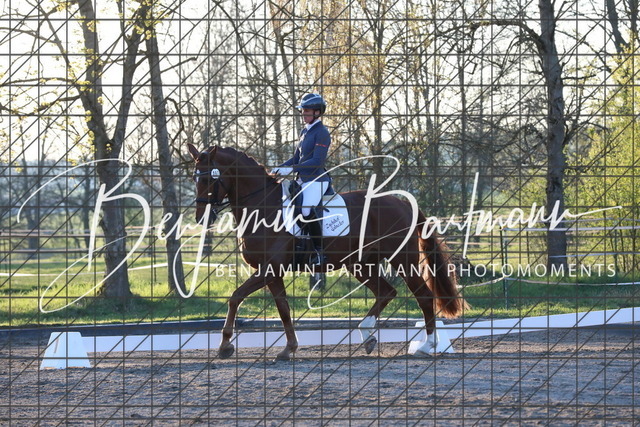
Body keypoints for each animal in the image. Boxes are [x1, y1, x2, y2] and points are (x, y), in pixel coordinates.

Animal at [187, 144, 467, 360]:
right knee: (386, 292)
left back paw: (427, 346)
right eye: (195, 178)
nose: (201, 218)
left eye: (210, 178)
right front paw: (289, 349)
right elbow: (283, 309)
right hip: (360, 264)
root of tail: (403, 203)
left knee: (424, 296)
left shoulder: (269, 269)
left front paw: (225, 346)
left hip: (402, 260)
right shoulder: (272, 273)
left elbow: (235, 297)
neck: (262, 206)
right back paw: (367, 336)